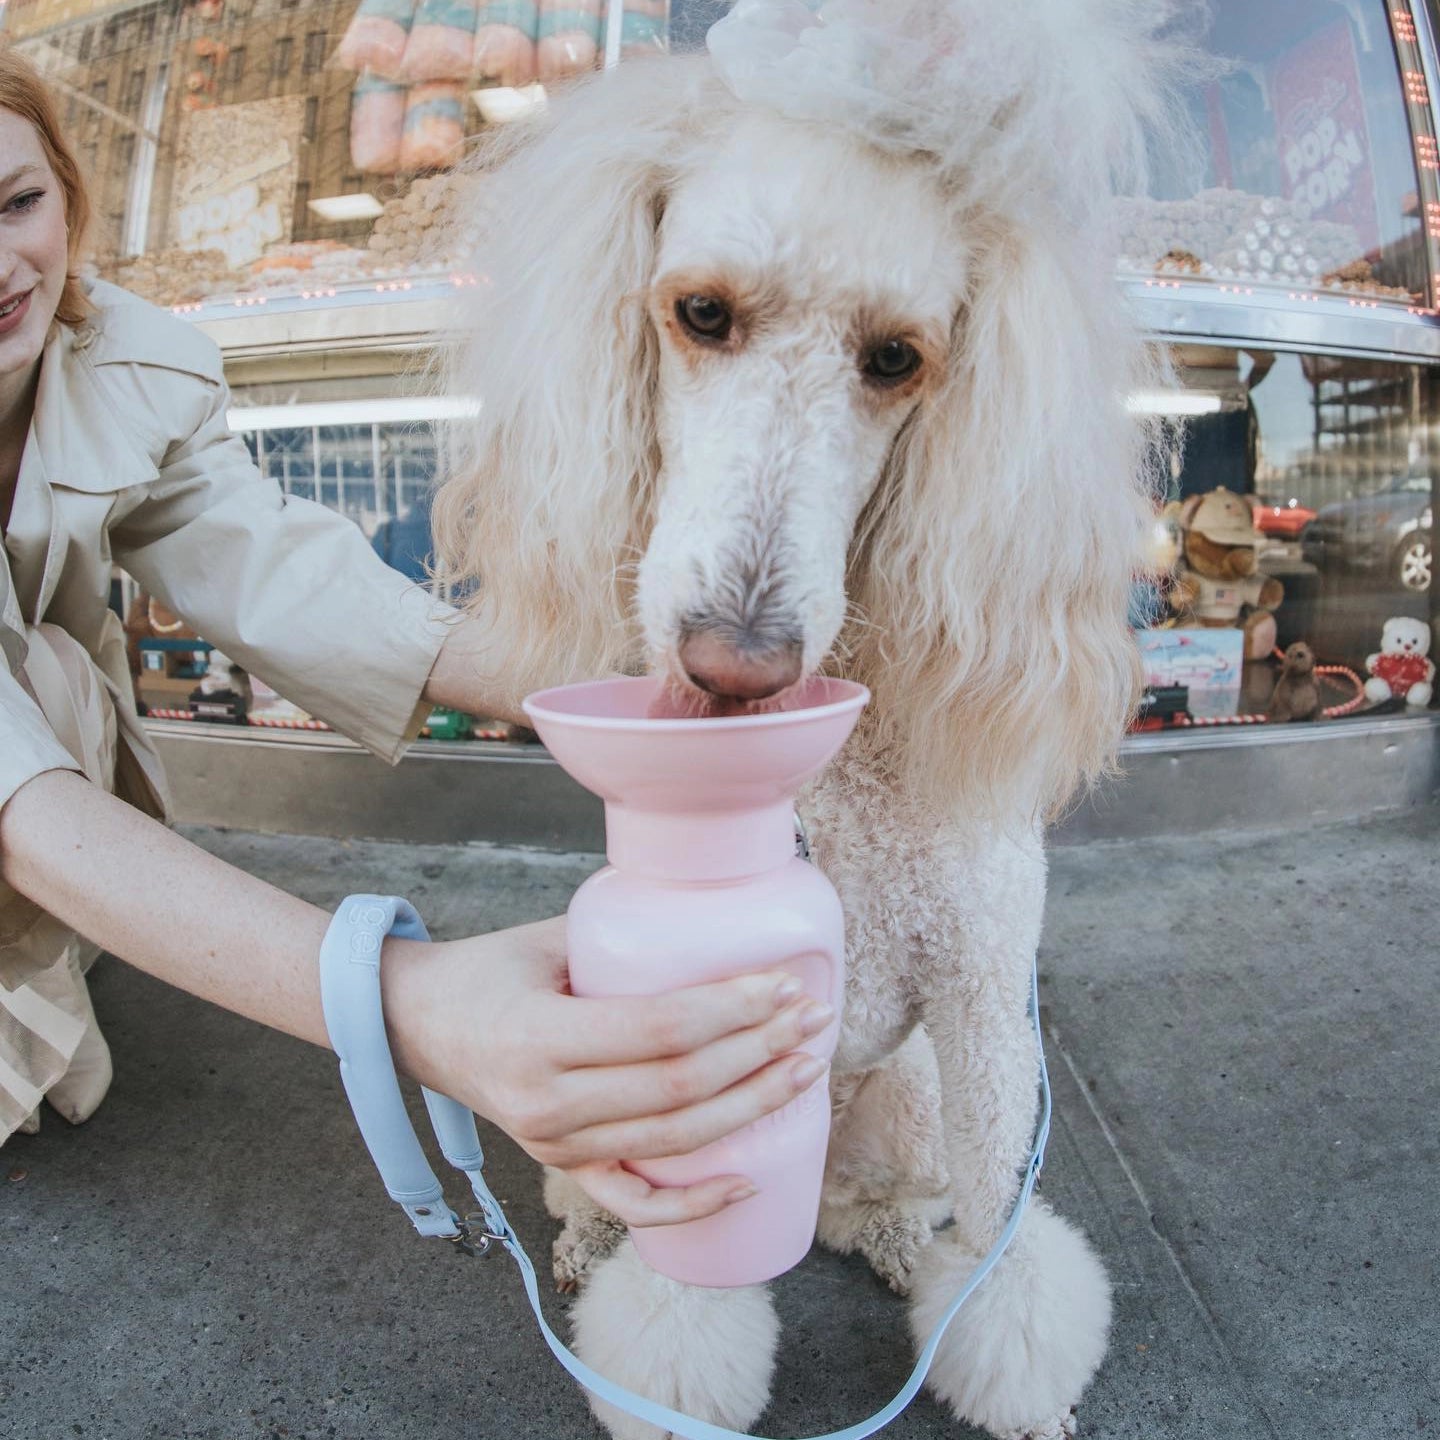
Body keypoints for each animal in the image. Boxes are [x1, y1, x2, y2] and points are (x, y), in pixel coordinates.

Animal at [432, 5, 1198, 1434]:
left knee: (871, 1206)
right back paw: (584, 1243)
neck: (844, 807)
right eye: (700, 312)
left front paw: (1016, 1380)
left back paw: (894, 1242)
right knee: (592, 1199)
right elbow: (682, 1293)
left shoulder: (984, 1006)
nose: (735, 668)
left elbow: (1005, 1237)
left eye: (897, 357)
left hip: (908, 1099)